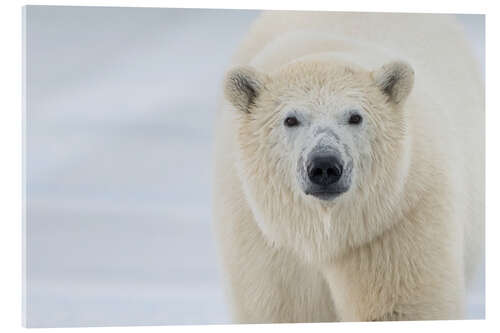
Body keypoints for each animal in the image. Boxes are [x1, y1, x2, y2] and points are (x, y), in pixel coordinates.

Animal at [212, 12, 484, 322]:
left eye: (355, 117)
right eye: (290, 119)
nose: (324, 166)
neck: (325, 235)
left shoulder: (395, 223)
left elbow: (402, 308)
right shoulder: (267, 244)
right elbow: (282, 310)